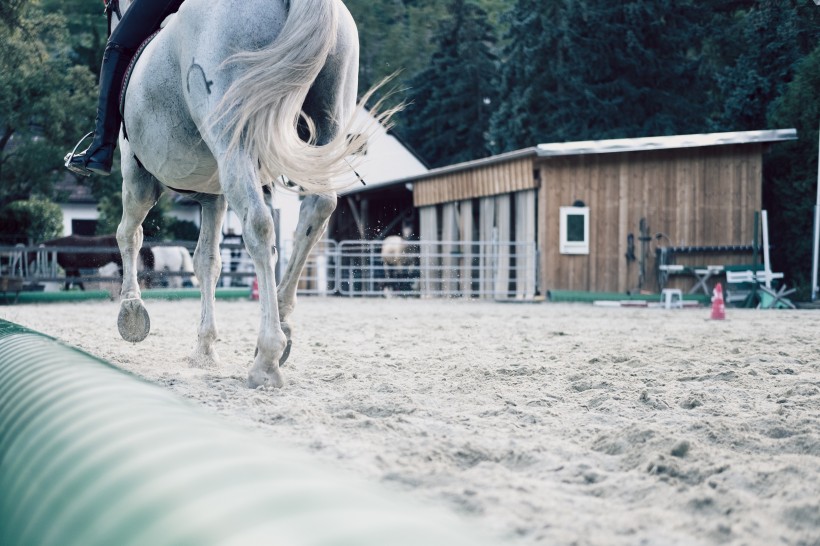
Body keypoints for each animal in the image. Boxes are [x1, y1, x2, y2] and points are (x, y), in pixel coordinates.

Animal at [110, 0, 390, 386]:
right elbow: (207, 262)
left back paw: (268, 356)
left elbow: (129, 235)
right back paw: (282, 322)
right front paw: (205, 348)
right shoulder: (213, 194)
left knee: (260, 227)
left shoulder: (136, 175)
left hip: (233, 141)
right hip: (327, 118)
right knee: (317, 209)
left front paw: (131, 310)